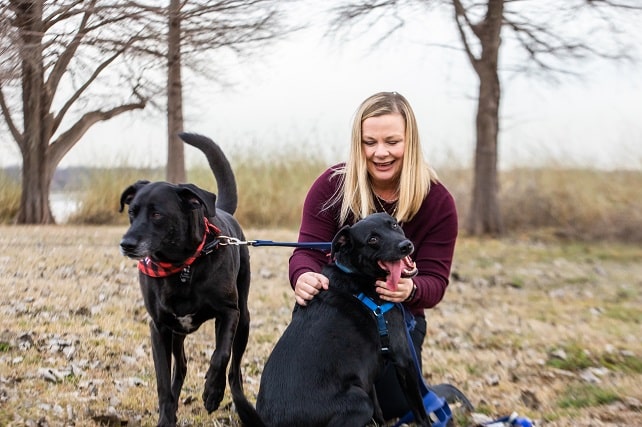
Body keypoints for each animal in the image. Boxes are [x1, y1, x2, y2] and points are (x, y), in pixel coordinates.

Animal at [119, 133, 254, 424]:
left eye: (157, 214)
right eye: (132, 212)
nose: (126, 244)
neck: (182, 266)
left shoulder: (229, 312)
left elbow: (221, 354)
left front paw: (212, 392)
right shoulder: (158, 327)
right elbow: (161, 381)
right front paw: (165, 417)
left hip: (244, 320)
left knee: (235, 368)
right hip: (176, 332)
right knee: (180, 367)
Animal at [235, 214, 430, 427]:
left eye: (393, 225)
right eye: (372, 239)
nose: (406, 246)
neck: (357, 275)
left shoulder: (367, 375)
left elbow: (378, 411)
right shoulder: (403, 359)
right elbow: (420, 411)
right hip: (359, 402)